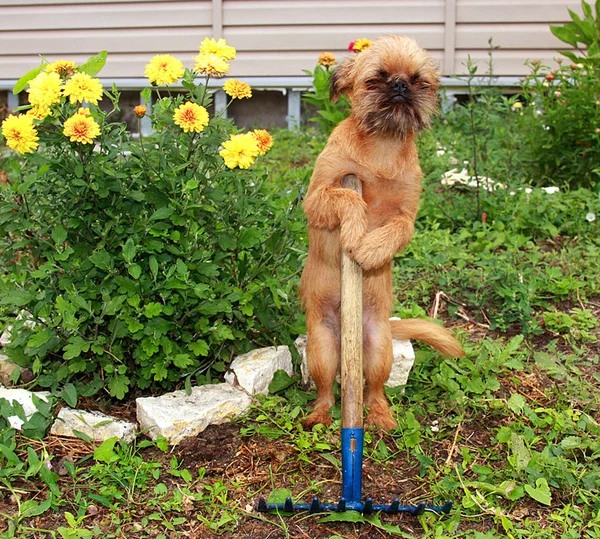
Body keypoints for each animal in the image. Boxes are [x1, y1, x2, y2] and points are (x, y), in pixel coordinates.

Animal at [300, 34, 464, 430]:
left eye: (419, 80)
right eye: (377, 78)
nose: (401, 85)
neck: (382, 146)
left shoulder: (408, 214)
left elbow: (398, 229)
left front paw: (371, 249)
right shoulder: (317, 198)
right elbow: (348, 196)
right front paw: (356, 232)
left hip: (379, 348)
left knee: (374, 389)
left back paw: (382, 416)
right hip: (321, 347)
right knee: (326, 390)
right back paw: (319, 414)